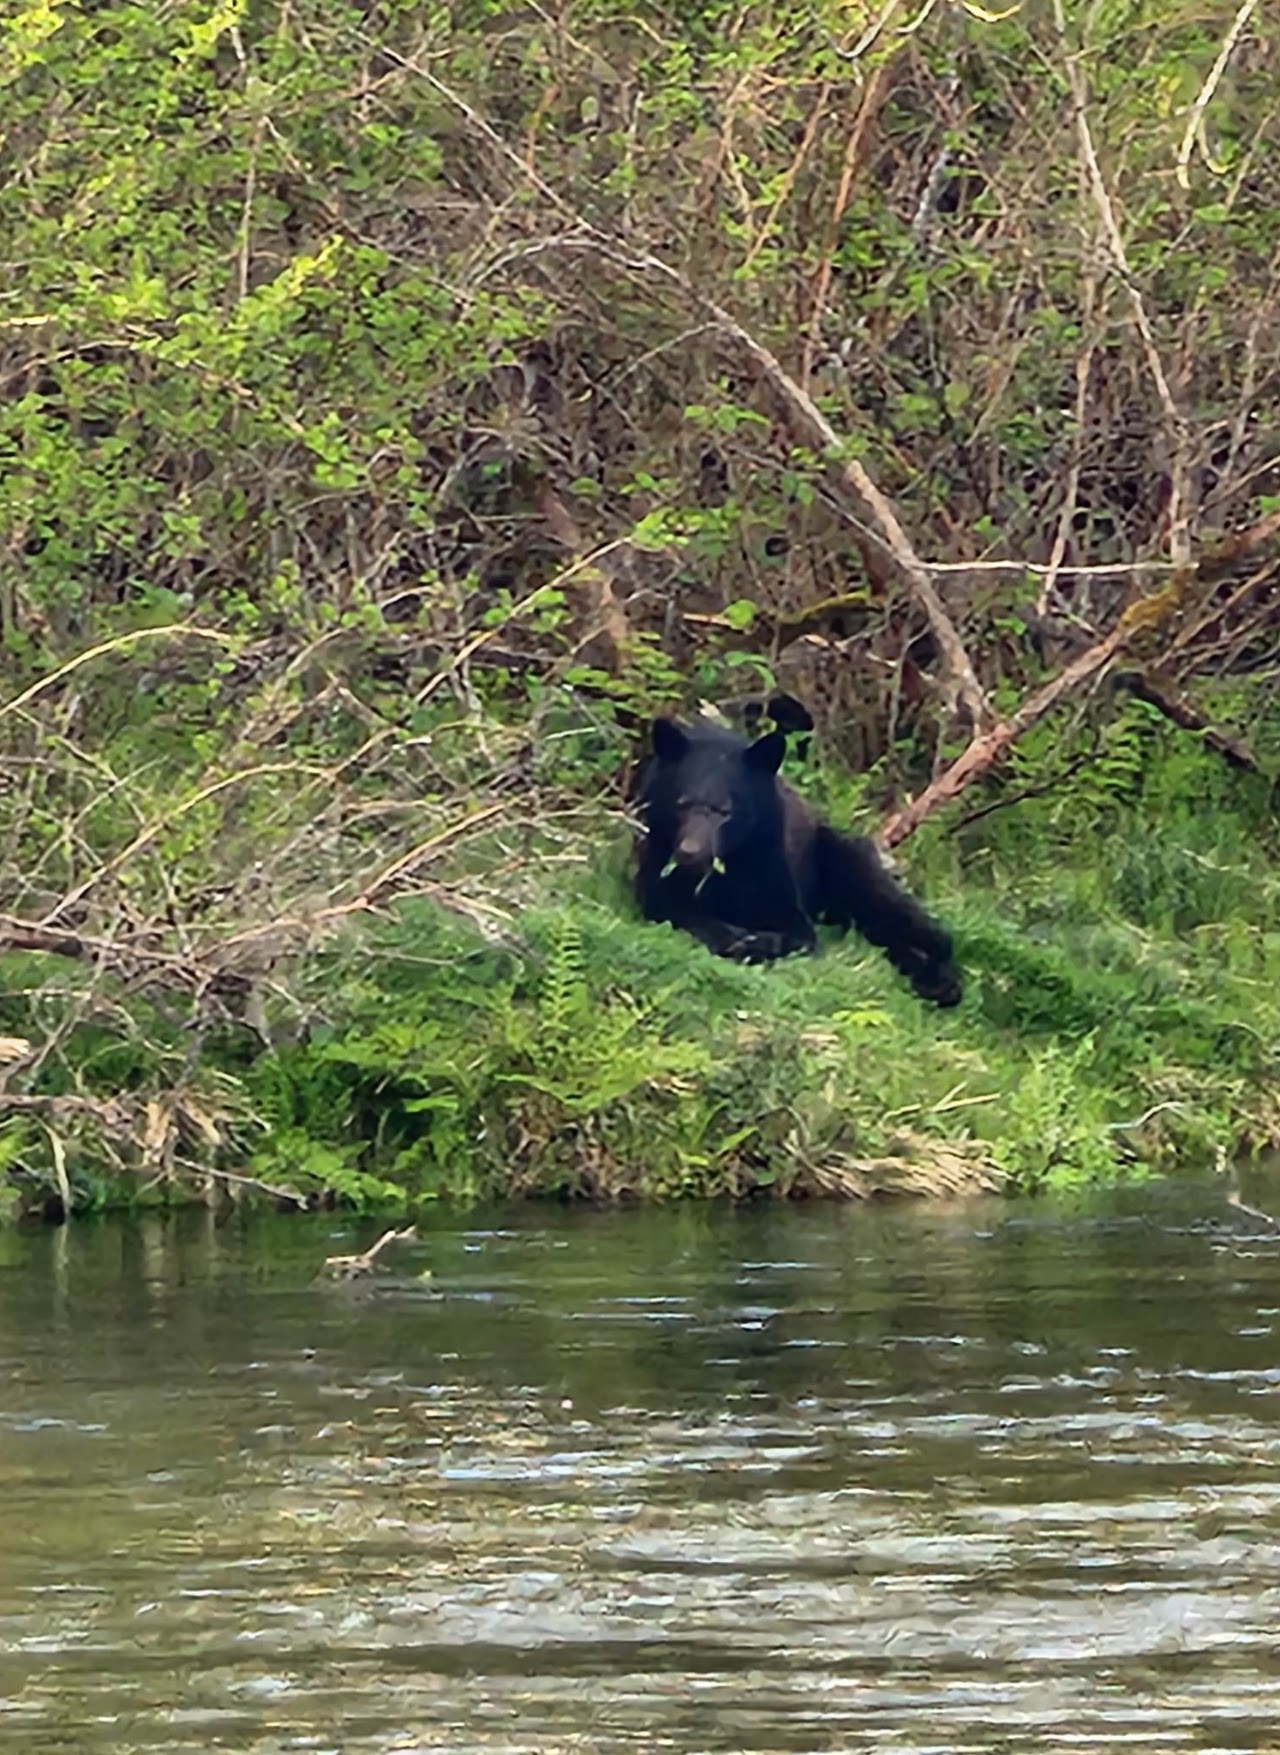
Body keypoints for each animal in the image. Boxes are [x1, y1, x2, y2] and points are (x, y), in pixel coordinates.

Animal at [632, 713, 962, 1008]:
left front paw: (758, 939)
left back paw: (940, 979)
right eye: (681, 804)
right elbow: (672, 907)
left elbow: (797, 933)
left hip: (839, 857)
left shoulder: (767, 866)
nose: (690, 852)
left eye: (725, 811)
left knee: (908, 920)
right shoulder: (658, 860)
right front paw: (733, 934)